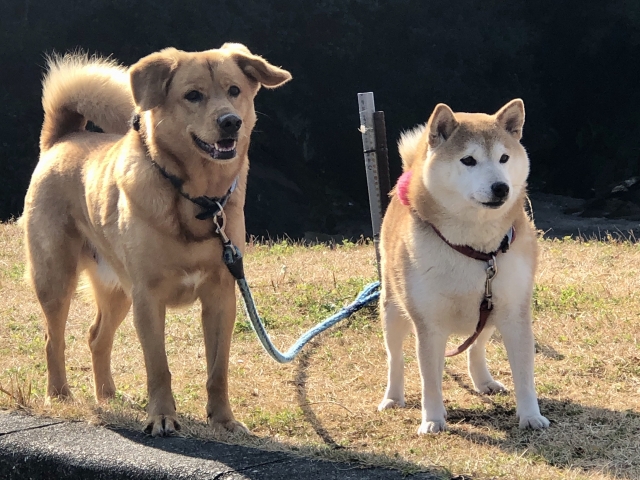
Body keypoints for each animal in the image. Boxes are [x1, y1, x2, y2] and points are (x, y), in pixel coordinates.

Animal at [22, 44, 292, 436]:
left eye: (234, 91)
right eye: (192, 95)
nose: (231, 122)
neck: (199, 199)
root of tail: (63, 138)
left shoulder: (220, 298)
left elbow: (218, 370)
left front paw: (223, 420)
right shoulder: (148, 299)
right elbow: (159, 367)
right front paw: (162, 416)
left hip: (118, 291)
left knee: (96, 337)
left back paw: (108, 396)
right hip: (57, 280)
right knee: (52, 340)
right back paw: (59, 395)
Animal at [380, 99, 552, 434]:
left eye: (504, 158)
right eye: (468, 160)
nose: (501, 187)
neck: (476, 249)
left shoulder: (514, 312)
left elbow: (525, 375)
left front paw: (530, 415)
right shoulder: (429, 324)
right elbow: (429, 380)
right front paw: (432, 419)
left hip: (488, 313)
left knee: (476, 347)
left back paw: (483, 381)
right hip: (394, 310)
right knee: (396, 359)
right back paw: (393, 397)